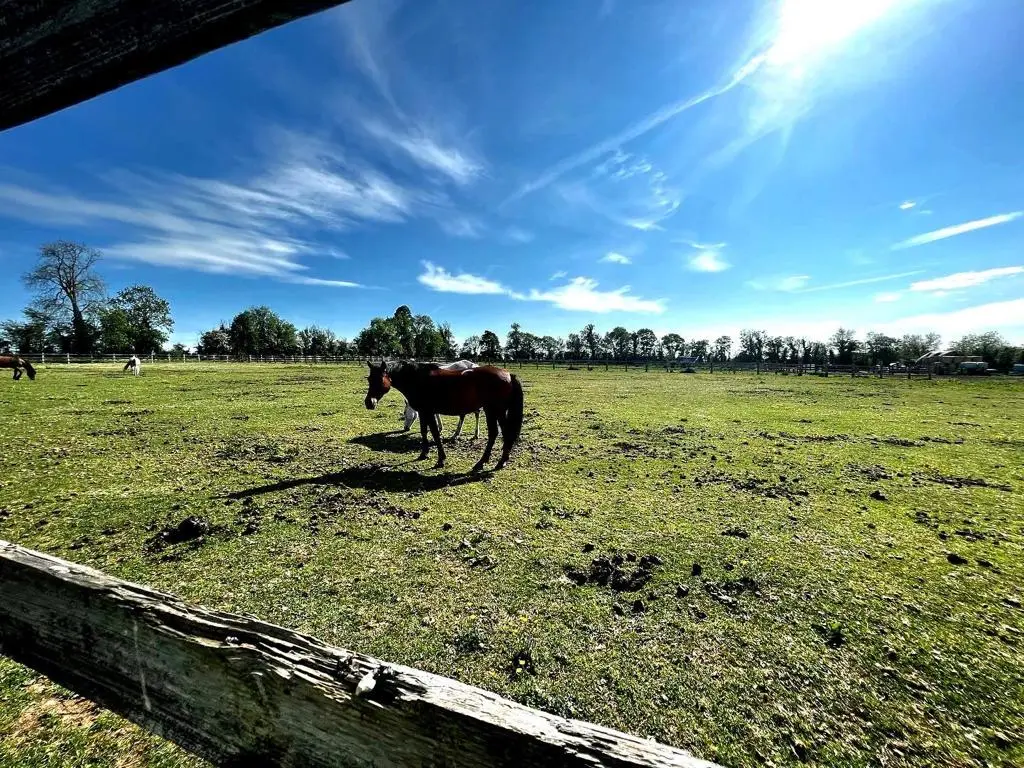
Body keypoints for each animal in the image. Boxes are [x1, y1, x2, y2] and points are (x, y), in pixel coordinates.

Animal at [365, 359, 523, 472]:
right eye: (369, 379)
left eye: (379, 379)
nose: (369, 403)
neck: (417, 379)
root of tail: (509, 375)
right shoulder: (424, 412)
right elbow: (424, 432)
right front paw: (424, 454)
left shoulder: (428, 412)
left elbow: (435, 433)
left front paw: (440, 460)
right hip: (495, 411)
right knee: (500, 434)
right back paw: (493, 462)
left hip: (494, 411)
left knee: (498, 433)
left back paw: (490, 462)